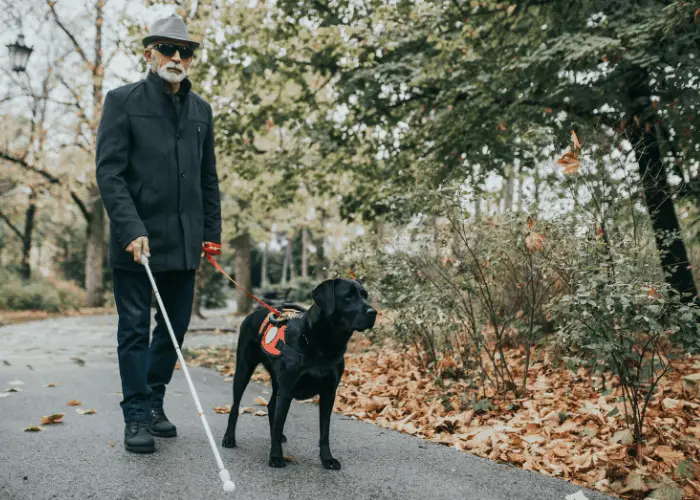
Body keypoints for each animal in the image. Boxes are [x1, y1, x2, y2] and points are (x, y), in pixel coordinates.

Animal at [223, 278, 378, 468]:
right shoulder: (287, 390)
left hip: (277, 381)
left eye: (365, 295)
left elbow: (324, 431)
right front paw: (276, 456)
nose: (373, 312)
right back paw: (229, 438)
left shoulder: (329, 393)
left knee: (271, 406)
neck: (324, 345)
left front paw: (327, 459)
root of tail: (253, 314)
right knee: (235, 406)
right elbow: (279, 422)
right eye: (348, 296)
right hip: (244, 370)